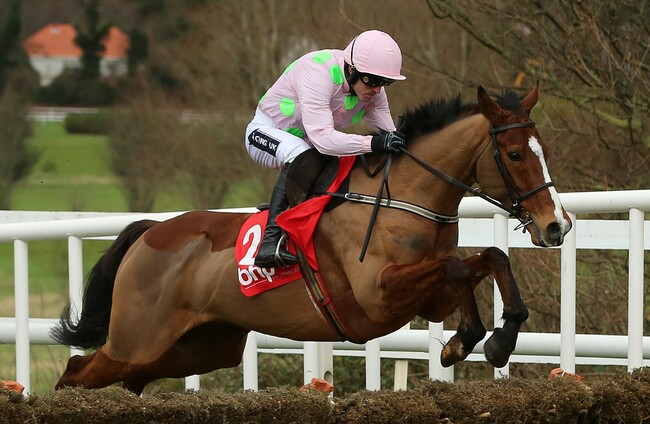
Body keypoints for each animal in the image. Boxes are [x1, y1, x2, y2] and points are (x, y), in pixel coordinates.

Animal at [52, 83, 572, 395]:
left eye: (544, 149)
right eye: (514, 153)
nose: (556, 225)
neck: (404, 197)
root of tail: (149, 233)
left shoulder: (429, 299)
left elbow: (490, 256)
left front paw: (495, 338)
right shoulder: (377, 296)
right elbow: (458, 265)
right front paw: (466, 341)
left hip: (196, 347)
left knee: (119, 377)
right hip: (137, 339)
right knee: (77, 373)